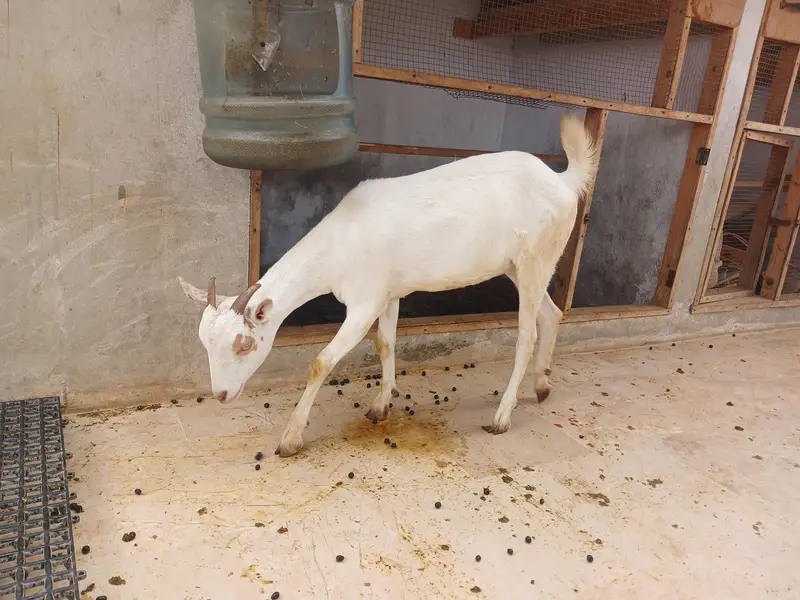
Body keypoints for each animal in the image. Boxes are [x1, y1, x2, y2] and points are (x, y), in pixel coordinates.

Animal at [179, 114, 598, 457]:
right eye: (204, 343)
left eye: (245, 344)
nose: (221, 395)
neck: (339, 245)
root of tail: (563, 181)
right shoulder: (389, 292)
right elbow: (385, 342)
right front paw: (382, 403)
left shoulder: (364, 302)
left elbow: (321, 362)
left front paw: (291, 438)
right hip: (522, 265)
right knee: (551, 313)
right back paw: (542, 385)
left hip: (535, 259)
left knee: (526, 336)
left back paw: (501, 416)